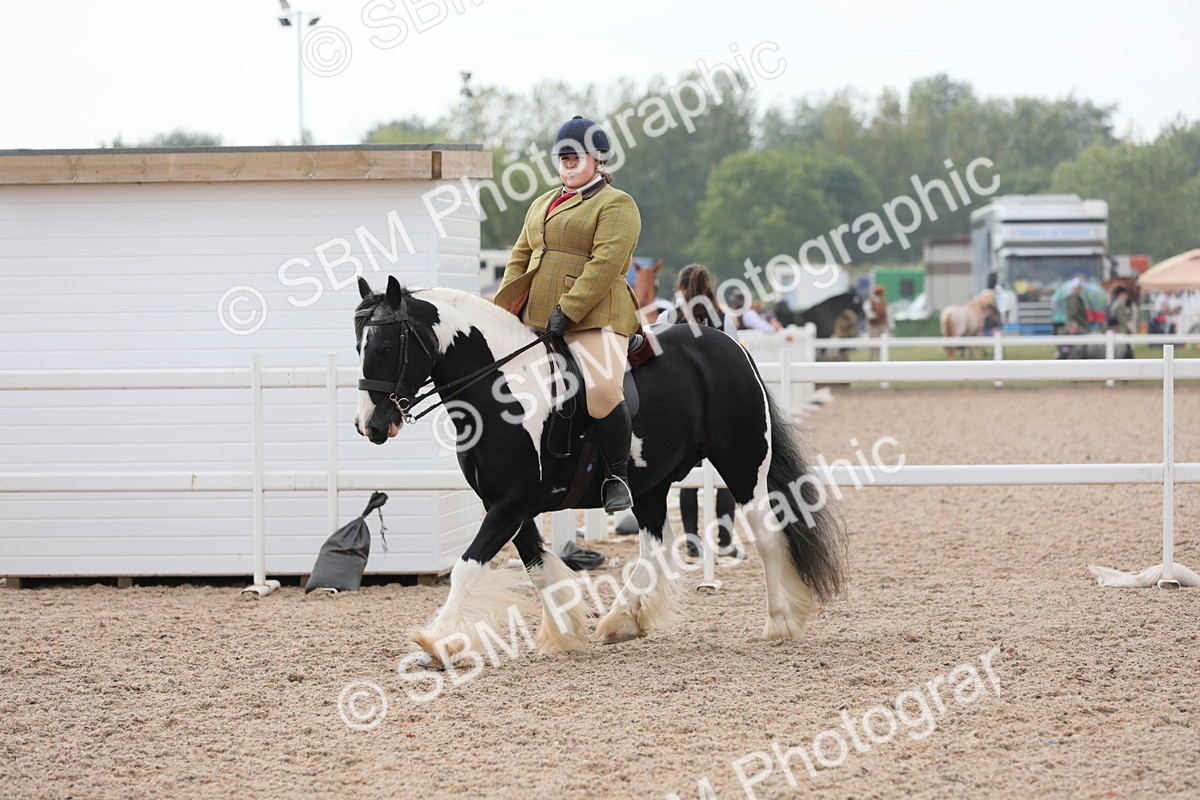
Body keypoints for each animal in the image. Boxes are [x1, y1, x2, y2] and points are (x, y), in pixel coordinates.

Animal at [354, 276, 847, 667]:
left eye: (384, 346)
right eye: (357, 345)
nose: (371, 426)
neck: (503, 391)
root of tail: (728, 343)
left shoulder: (509, 504)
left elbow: (467, 567)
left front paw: (436, 643)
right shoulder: (507, 505)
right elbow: (537, 566)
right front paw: (563, 632)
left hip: (742, 466)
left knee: (766, 535)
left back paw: (780, 622)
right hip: (649, 483)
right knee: (656, 541)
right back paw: (623, 619)